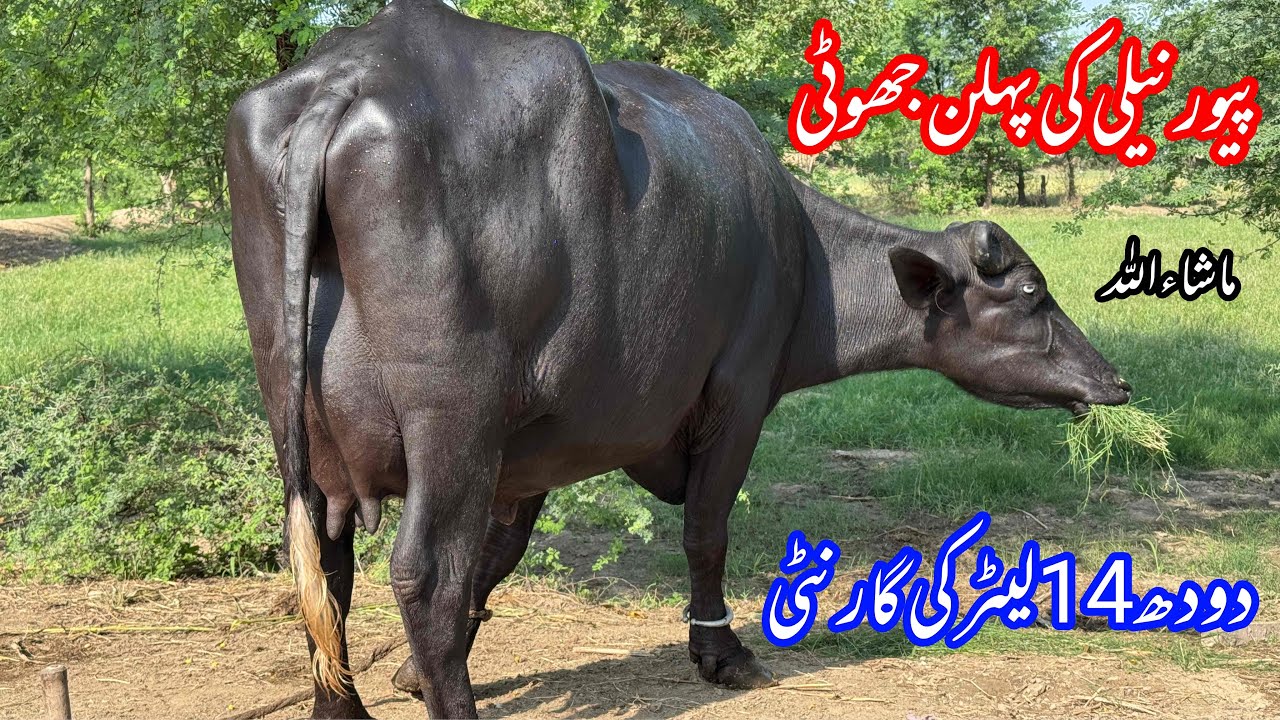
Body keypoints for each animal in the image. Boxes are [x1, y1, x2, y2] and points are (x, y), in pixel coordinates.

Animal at [226, 1, 1130, 717]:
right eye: (1031, 294)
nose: (1114, 381)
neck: (801, 256)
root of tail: (347, 82)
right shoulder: (737, 396)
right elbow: (705, 529)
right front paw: (721, 652)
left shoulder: (529, 451)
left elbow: (500, 552)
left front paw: (413, 677)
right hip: (453, 419)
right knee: (422, 574)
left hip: (300, 416)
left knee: (322, 563)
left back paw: (341, 708)